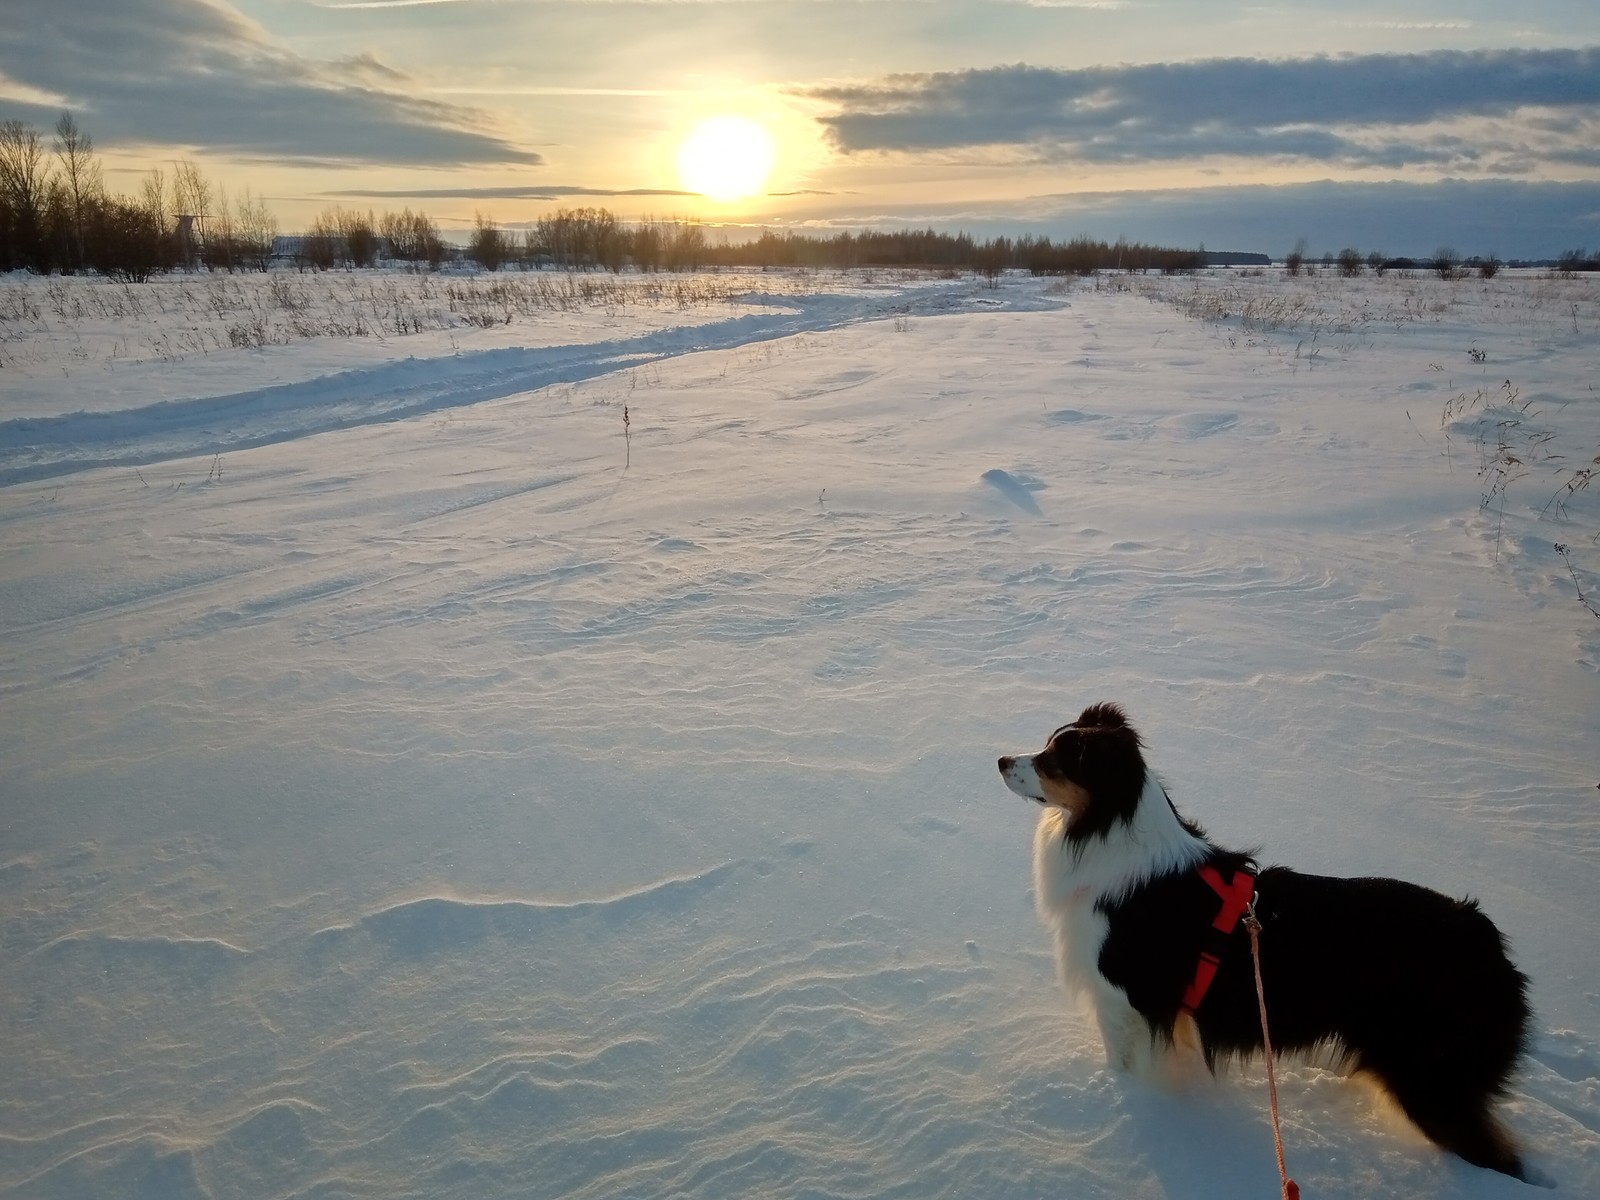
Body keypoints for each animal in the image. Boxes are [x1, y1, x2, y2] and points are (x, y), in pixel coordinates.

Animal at [992, 700, 1529, 1177]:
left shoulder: (1124, 1004)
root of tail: (1485, 937)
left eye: (1054, 759)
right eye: (1048, 743)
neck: (1105, 832)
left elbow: (1127, 1068)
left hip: (1430, 1080)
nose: (999, 761)